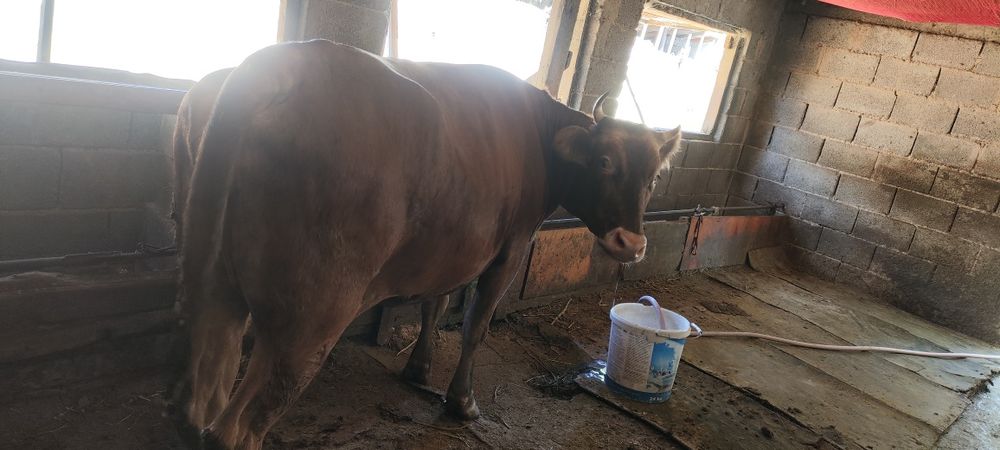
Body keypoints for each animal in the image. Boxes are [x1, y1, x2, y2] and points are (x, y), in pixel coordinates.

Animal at [171, 39, 680, 450]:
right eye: (605, 162)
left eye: (654, 178)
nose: (631, 243)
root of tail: (280, 65)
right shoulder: (511, 248)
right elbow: (475, 325)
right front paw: (463, 402)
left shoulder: (452, 247)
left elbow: (434, 305)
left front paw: (418, 369)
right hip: (309, 313)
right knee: (236, 428)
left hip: (212, 286)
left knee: (199, 405)